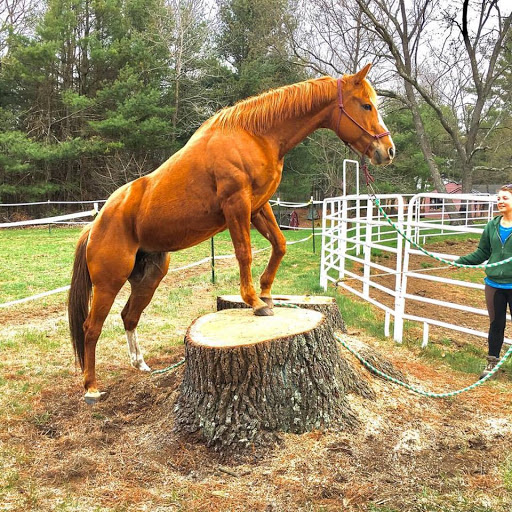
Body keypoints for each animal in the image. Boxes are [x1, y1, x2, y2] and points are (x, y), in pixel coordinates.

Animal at [69, 64, 396, 402]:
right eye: (366, 105)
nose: (388, 151)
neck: (254, 135)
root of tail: (96, 224)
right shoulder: (237, 206)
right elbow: (245, 253)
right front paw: (254, 302)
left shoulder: (258, 207)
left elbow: (279, 245)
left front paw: (266, 292)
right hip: (109, 282)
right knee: (91, 328)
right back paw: (91, 387)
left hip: (149, 277)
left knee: (129, 317)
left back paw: (140, 365)